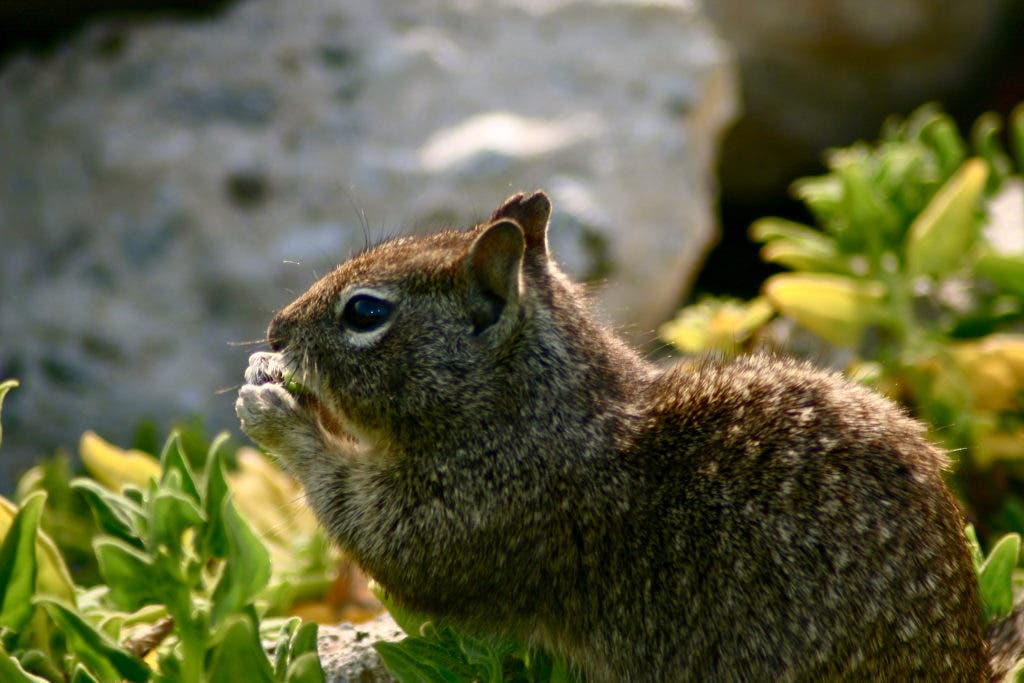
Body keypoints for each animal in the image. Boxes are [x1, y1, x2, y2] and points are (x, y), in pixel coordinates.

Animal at [236, 191, 1024, 681]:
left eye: (365, 313)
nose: (273, 329)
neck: (536, 405)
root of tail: (961, 658)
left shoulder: (472, 517)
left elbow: (370, 526)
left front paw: (276, 411)